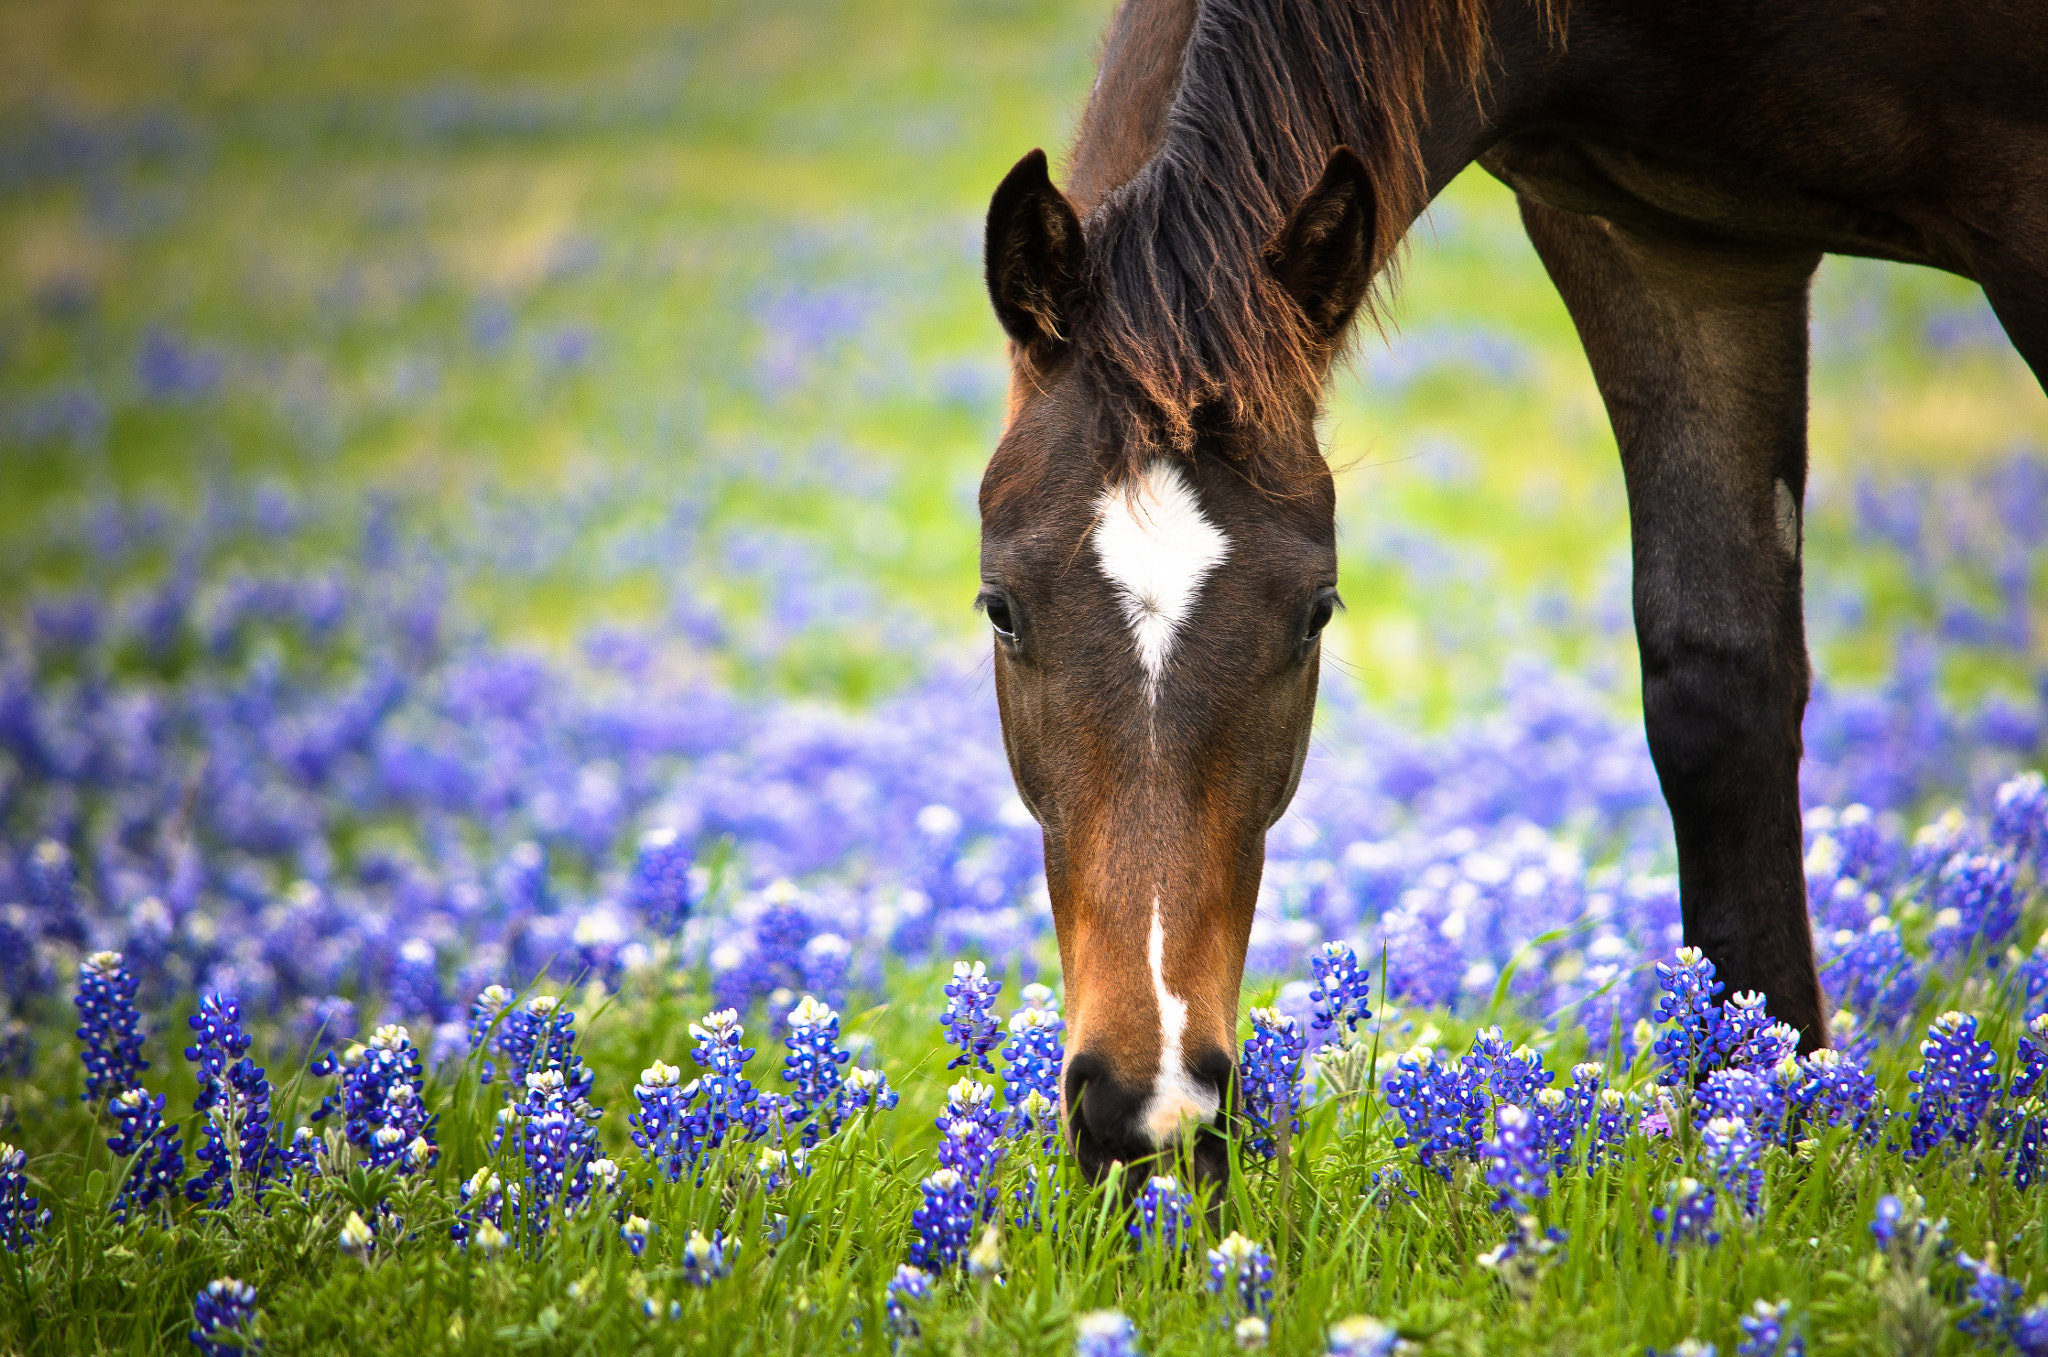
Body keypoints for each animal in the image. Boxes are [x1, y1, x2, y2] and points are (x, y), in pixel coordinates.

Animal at [974, 0, 2048, 1187]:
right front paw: (1759, 1125)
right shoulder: (1665, 242)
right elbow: (1716, 687)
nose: (1151, 1112)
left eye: (1315, 613)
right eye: (1001, 607)